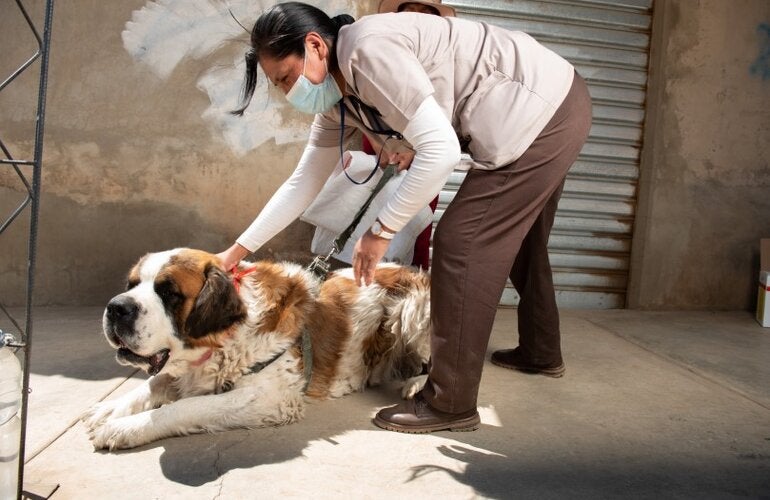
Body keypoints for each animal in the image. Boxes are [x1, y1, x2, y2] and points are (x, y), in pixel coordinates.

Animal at [85, 249, 432, 450]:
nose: (116, 308)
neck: (223, 337)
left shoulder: (270, 398)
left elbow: (185, 407)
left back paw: (419, 385)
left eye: (169, 292)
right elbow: (153, 383)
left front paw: (125, 428)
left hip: (414, 305)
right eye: (131, 285)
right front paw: (110, 408)